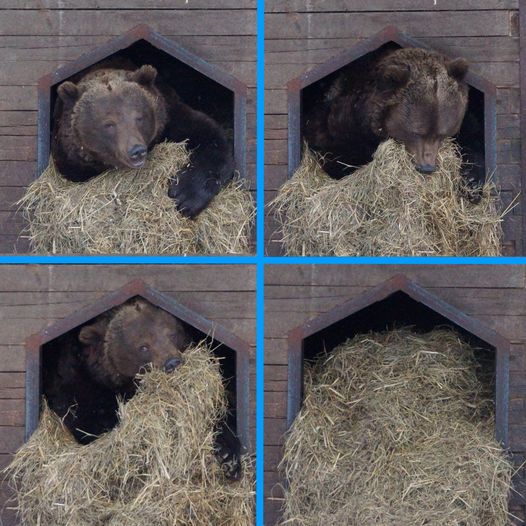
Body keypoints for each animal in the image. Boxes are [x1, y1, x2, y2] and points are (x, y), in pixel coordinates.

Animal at [52, 63, 234, 219]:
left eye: (139, 117)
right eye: (109, 124)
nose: (136, 150)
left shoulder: (170, 117)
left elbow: (209, 136)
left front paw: (184, 195)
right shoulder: (70, 154)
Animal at [304, 47, 484, 187]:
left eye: (442, 133)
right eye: (417, 132)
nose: (427, 167)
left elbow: (473, 139)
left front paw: (472, 180)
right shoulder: (340, 123)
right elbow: (337, 155)